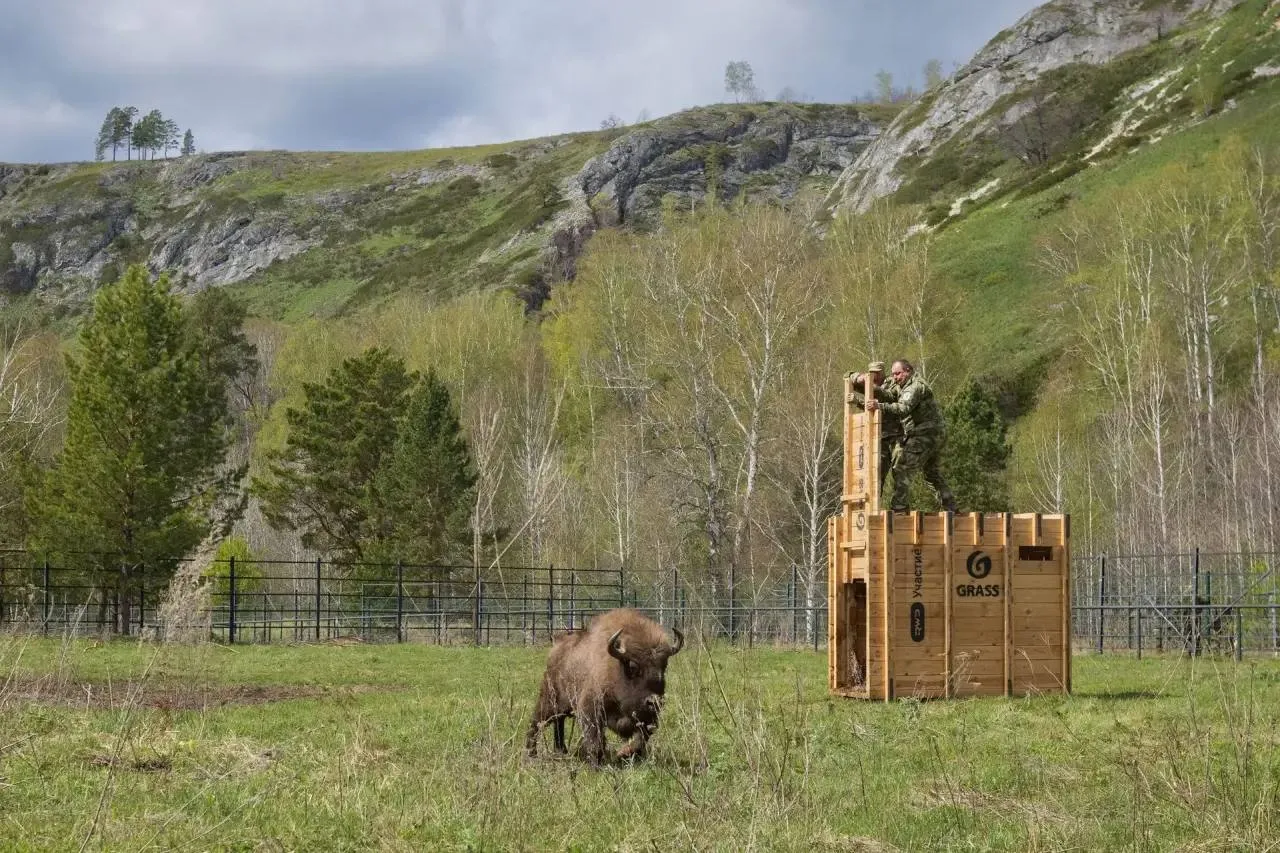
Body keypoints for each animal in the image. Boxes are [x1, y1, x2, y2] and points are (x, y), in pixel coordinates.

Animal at [525, 608, 684, 766]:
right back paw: (530, 755)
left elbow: (640, 739)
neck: (616, 667)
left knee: (558, 722)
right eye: (633, 666)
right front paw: (596, 765)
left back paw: (560, 751)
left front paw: (623, 754)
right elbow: (595, 741)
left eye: (664, 666)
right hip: (549, 701)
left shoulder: (647, 719)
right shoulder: (590, 710)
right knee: (536, 723)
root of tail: (556, 646)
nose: (654, 701)